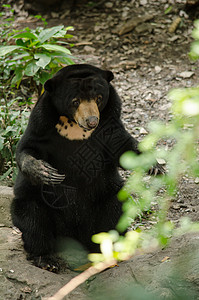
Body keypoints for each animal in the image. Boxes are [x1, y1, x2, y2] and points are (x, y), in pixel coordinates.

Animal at [11, 63, 163, 272]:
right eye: (75, 101)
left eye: (99, 98)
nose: (91, 121)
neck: (74, 127)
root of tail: (75, 238)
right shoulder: (41, 123)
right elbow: (27, 148)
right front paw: (46, 172)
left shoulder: (109, 122)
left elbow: (122, 146)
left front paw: (155, 168)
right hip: (35, 204)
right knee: (33, 219)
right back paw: (46, 259)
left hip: (105, 198)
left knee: (115, 210)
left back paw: (109, 250)